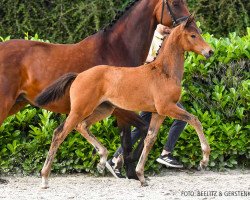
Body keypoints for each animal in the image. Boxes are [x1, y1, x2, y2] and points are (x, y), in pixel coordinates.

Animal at [0, 0, 191, 177]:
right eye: (175, 3)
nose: (190, 23)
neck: (115, 49)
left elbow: (131, 136)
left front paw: (123, 169)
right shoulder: (120, 109)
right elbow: (137, 134)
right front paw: (125, 168)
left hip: (17, 103)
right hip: (6, 103)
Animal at [36, 16, 214, 188]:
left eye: (199, 32)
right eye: (193, 35)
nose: (210, 51)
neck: (164, 72)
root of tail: (78, 75)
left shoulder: (158, 113)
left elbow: (150, 139)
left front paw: (141, 176)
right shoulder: (167, 108)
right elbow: (194, 120)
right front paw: (204, 160)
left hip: (103, 109)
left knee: (82, 126)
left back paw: (102, 160)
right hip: (80, 110)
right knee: (59, 133)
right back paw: (44, 178)